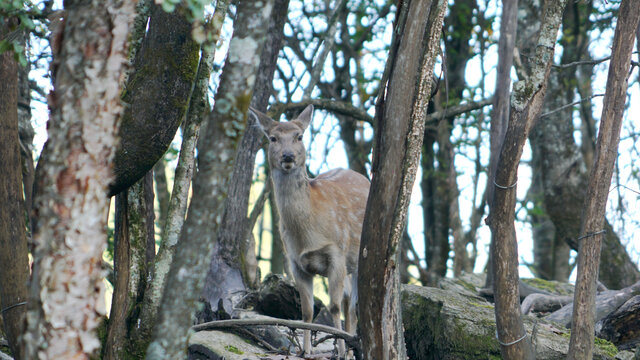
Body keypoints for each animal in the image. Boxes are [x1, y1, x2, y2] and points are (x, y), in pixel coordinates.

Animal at [250, 104, 370, 358]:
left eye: (299, 136)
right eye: (273, 138)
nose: (288, 156)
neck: (308, 234)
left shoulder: (337, 253)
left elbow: (333, 307)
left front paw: (340, 351)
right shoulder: (295, 262)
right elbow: (306, 310)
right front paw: (305, 351)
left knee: (351, 306)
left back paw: (351, 347)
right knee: (349, 301)